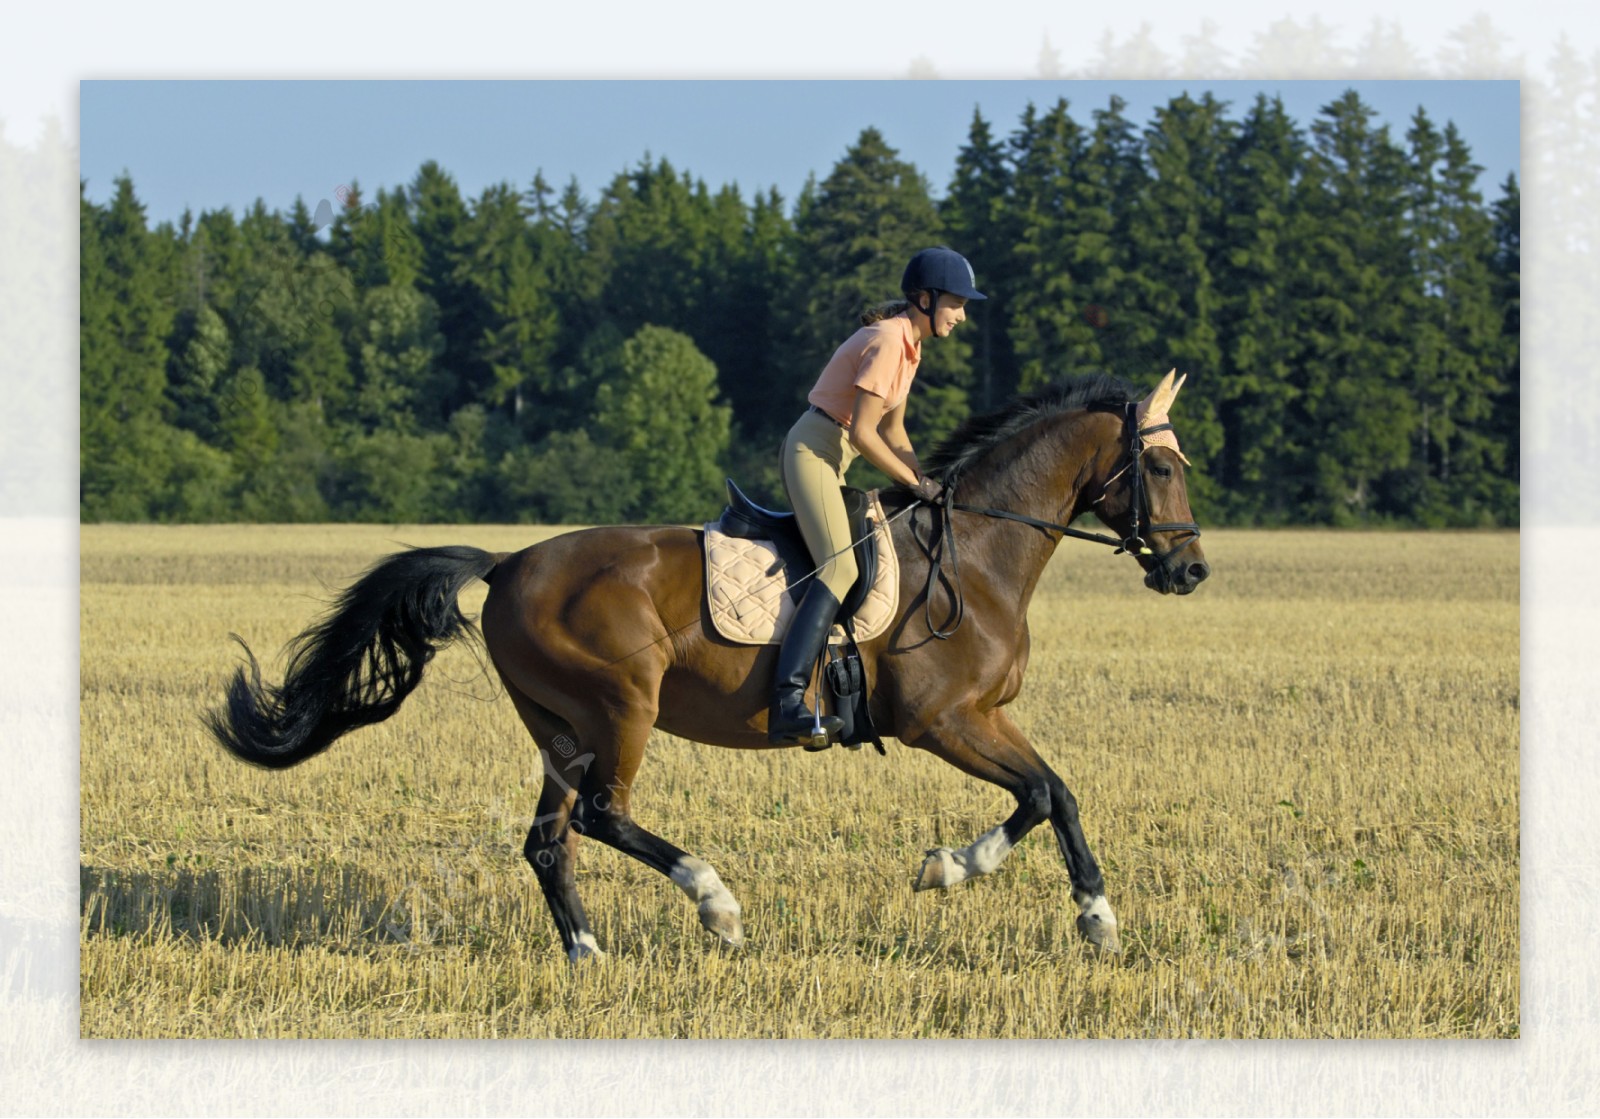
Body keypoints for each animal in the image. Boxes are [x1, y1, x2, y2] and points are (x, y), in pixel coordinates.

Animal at [206, 369, 1203, 960]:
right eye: (1159, 467)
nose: (1190, 570)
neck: (978, 552)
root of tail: (508, 562)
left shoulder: (984, 718)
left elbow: (1055, 792)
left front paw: (1085, 914)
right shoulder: (944, 720)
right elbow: (1041, 793)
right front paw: (976, 878)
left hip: (561, 726)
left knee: (550, 839)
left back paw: (587, 954)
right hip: (623, 704)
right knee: (604, 815)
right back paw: (716, 904)